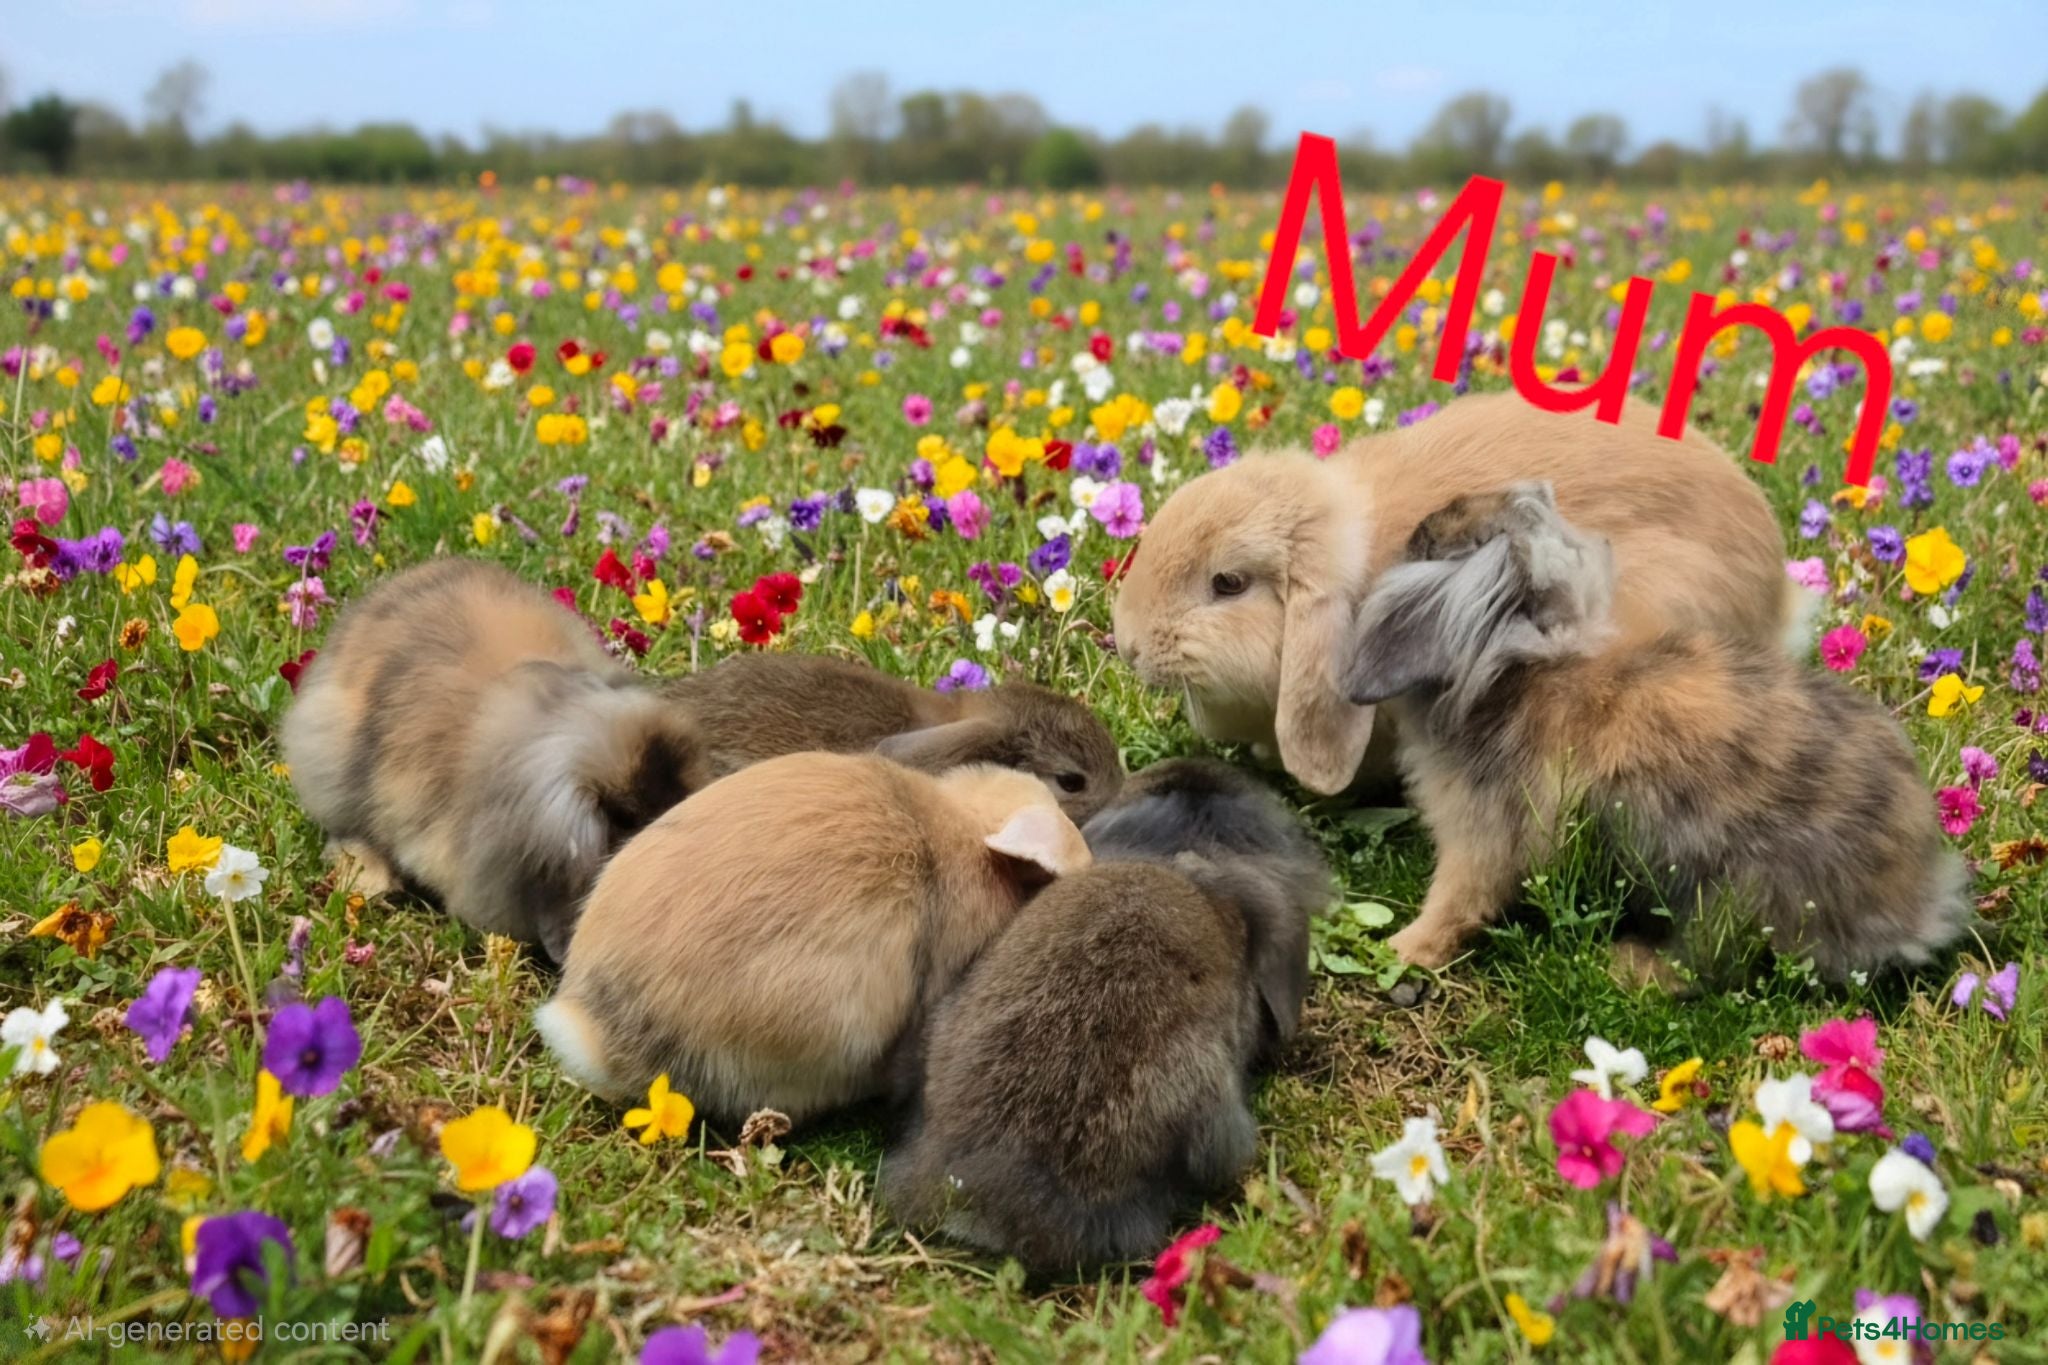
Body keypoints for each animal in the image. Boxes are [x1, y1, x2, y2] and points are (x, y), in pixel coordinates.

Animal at [1342, 481, 1969, 977]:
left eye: (1434, 544)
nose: (1417, 530)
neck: (1517, 671)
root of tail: (1915, 905)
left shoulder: (1481, 832)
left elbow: (1457, 900)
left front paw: (1402, 949)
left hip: (1727, 898)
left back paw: (1628, 966)